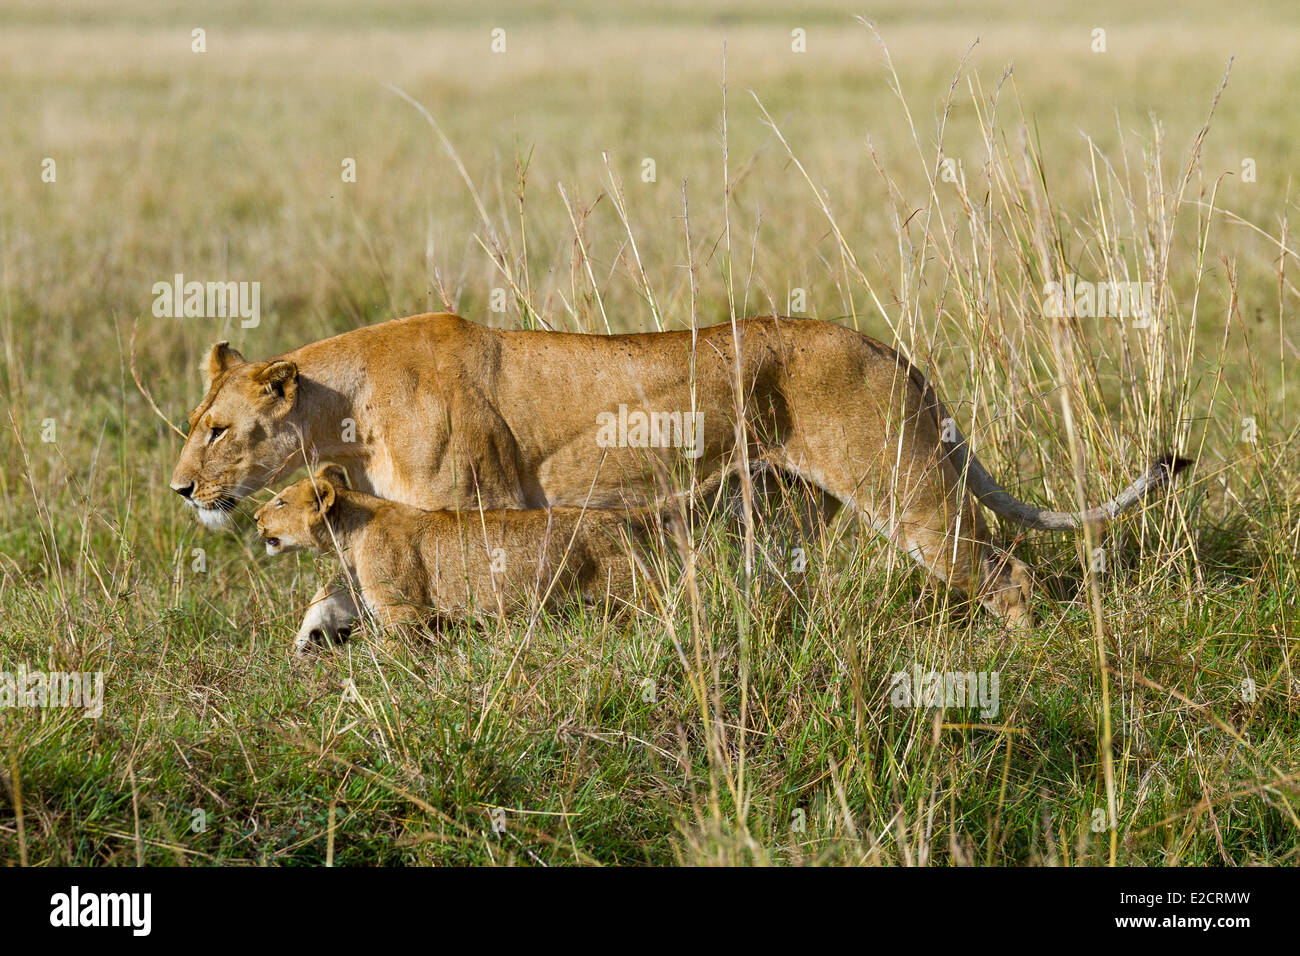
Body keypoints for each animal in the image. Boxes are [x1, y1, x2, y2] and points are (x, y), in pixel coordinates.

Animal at [254, 465, 660, 640]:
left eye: (280, 502)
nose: (255, 518)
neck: (351, 531)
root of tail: (617, 515)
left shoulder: (402, 609)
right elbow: (329, 597)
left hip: (630, 591)